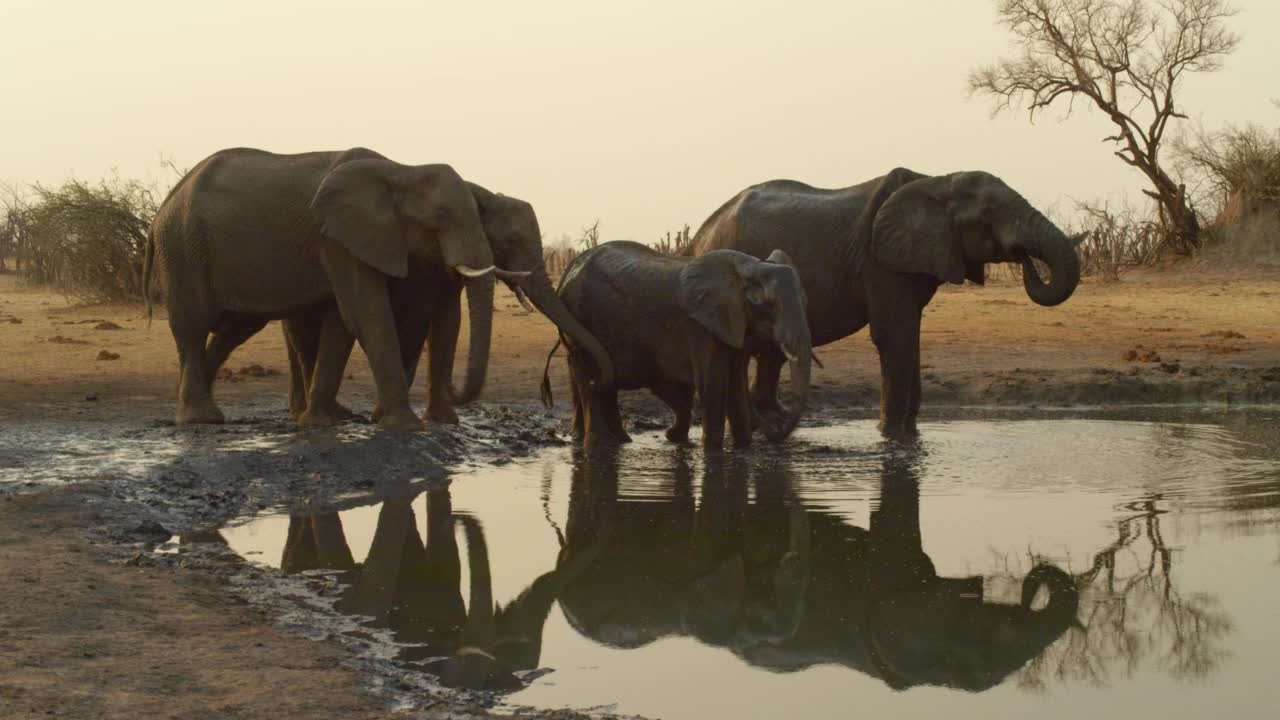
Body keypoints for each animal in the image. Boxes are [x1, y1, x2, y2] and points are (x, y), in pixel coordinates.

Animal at [145, 142, 529, 427]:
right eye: (440, 218)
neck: (400, 170)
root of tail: (161, 208)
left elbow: (341, 321)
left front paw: (325, 423)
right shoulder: (335, 239)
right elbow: (365, 313)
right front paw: (403, 426)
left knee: (233, 330)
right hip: (182, 248)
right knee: (193, 325)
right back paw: (200, 419)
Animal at [540, 240, 808, 448]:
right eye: (770, 306)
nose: (771, 430)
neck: (748, 268)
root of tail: (569, 268)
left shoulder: (732, 322)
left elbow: (736, 384)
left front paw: (742, 446)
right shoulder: (701, 326)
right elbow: (713, 383)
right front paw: (711, 451)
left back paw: (630, 440)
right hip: (580, 318)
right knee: (591, 377)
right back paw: (602, 444)